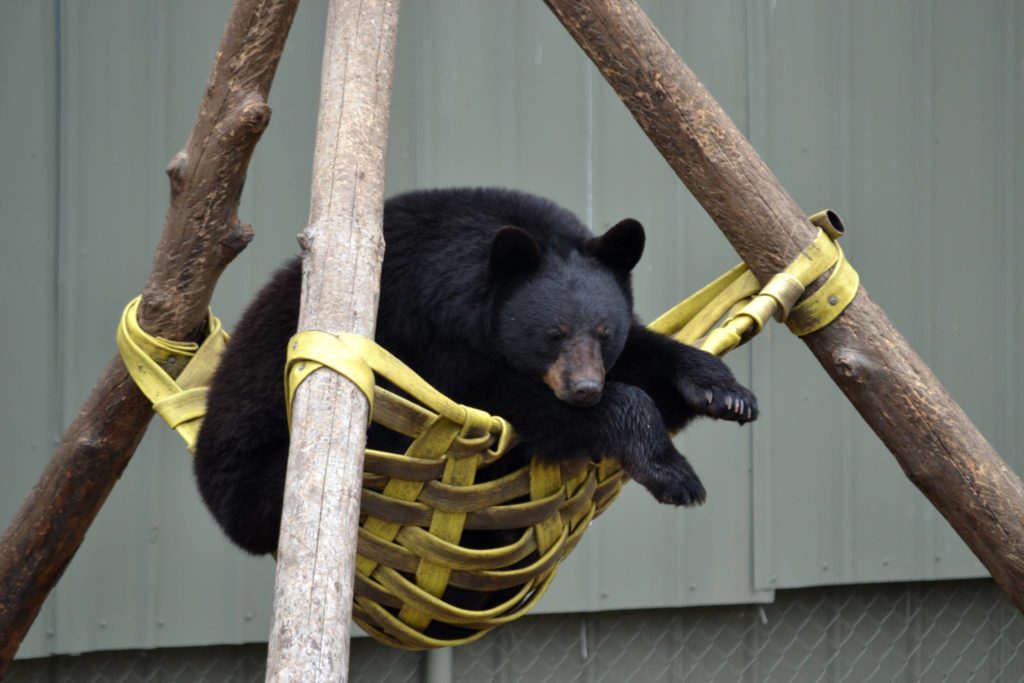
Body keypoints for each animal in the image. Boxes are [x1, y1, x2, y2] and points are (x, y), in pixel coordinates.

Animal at [193, 187, 753, 557]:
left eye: (602, 331)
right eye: (552, 333)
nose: (585, 390)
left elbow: (649, 350)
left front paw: (724, 393)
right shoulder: (420, 332)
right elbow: (499, 396)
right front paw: (674, 474)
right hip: (269, 471)